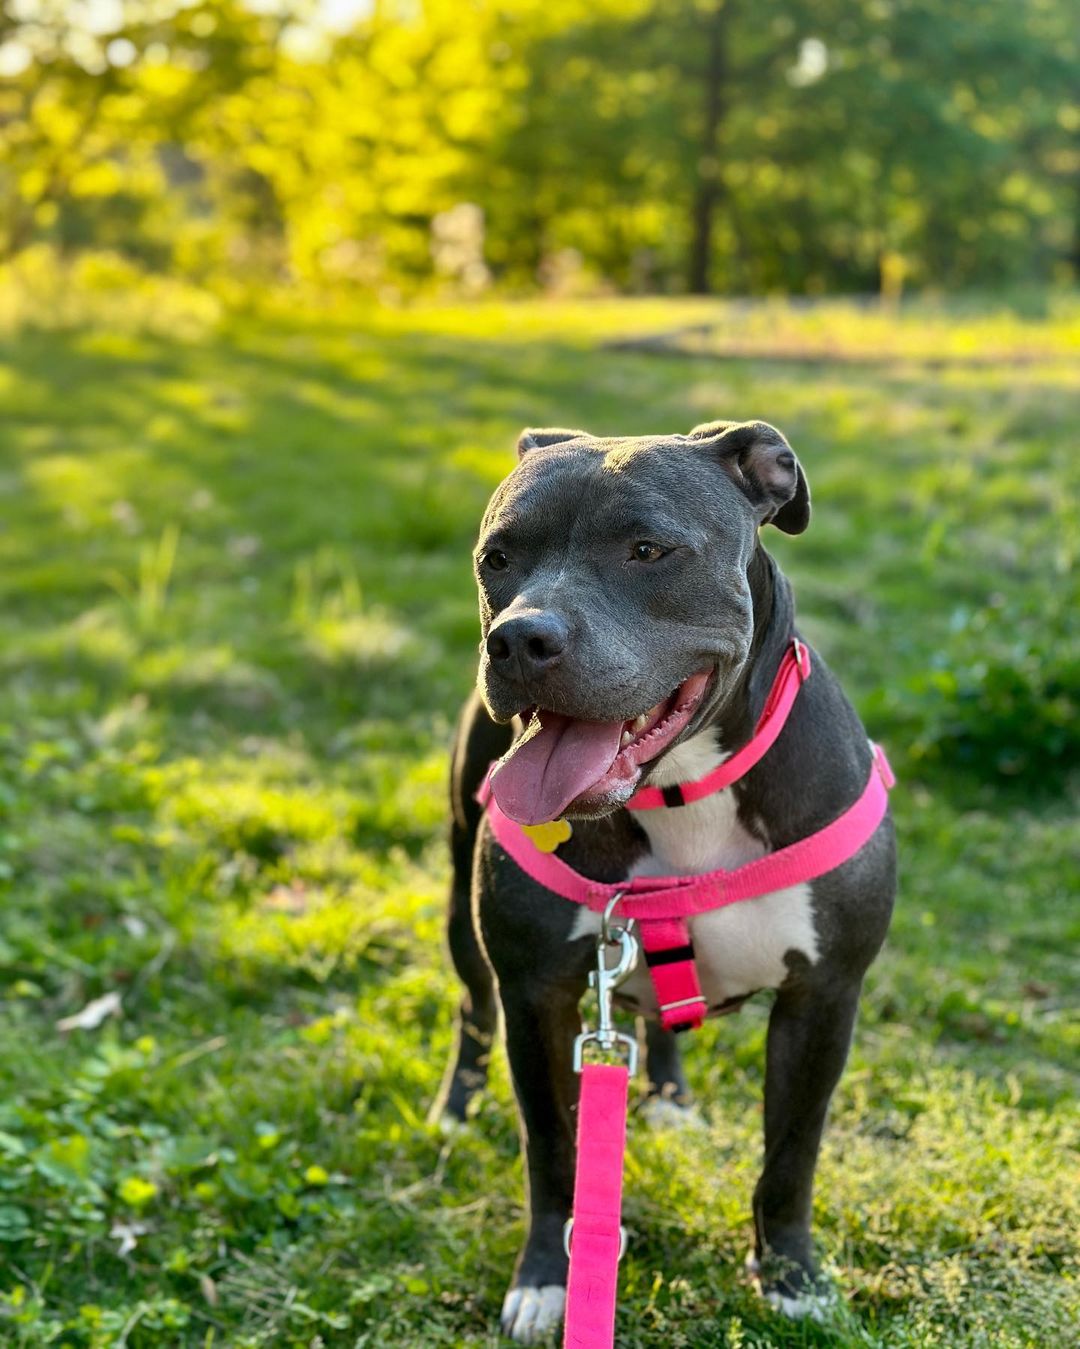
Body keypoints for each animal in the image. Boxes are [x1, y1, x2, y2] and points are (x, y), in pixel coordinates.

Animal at [428, 418, 895, 1338]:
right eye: (497, 558)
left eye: (647, 550)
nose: (519, 638)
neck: (683, 789)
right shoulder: (535, 993)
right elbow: (554, 1148)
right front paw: (548, 1280)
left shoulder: (825, 995)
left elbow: (792, 1153)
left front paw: (792, 1277)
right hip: (465, 910)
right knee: (471, 1004)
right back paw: (457, 1109)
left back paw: (671, 1095)